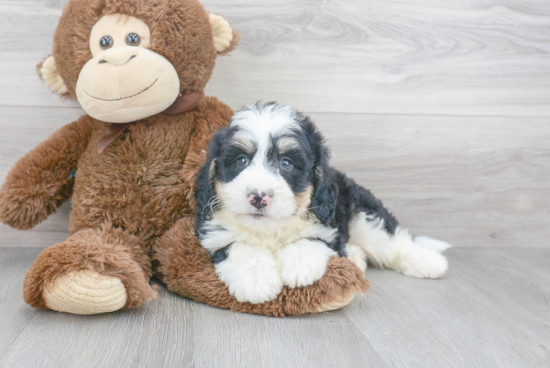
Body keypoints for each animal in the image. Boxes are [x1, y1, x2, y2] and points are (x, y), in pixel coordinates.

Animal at [196, 102, 450, 304]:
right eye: (241, 161)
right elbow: (238, 246)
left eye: (286, 163)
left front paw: (300, 267)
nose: (259, 196)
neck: (270, 231)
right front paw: (257, 280)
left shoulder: (327, 220)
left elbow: (310, 238)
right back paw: (356, 258)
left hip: (363, 216)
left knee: (393, 242)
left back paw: (430, 262)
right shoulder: (213, 232)